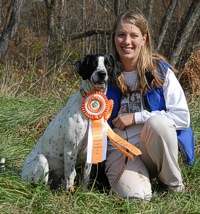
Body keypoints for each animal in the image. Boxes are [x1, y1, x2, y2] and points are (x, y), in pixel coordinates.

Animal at [21, 53, 122, 191]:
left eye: (108, 65)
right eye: (93, 63)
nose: (101, 73)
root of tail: (21, 174)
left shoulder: (89, 151)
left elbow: (85, 178)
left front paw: (83, 193)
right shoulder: (70, 150)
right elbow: (69, 179)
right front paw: (69, 193)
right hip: (41, 160)